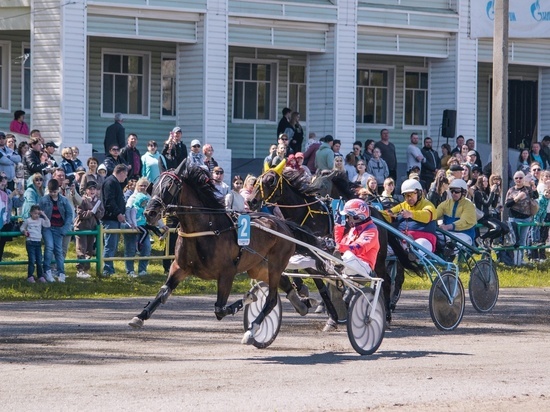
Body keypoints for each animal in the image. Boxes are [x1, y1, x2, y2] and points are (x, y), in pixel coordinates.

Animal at [129, 159, 320, 346]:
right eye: (153, 186)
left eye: (170, 186)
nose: (150, 213)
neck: (207, 229)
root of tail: (284, 224)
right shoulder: (179, 267)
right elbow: (163, 293)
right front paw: (139, 317)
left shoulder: (227, 273)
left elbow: (219, 309)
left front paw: (249, 297)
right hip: (259, 266)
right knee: (284, 283)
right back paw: (302, 304)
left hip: (275, 264)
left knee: (271, 299)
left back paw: (252, 329)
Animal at [250, 167, 422, 322]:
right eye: (258, 179)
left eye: (270, 181)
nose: (251, 201)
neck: (308, 214)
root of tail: (379, 215)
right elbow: (310, 276)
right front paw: (309, 297)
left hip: (379, 257)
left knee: (385, 280)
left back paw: (385, 313)